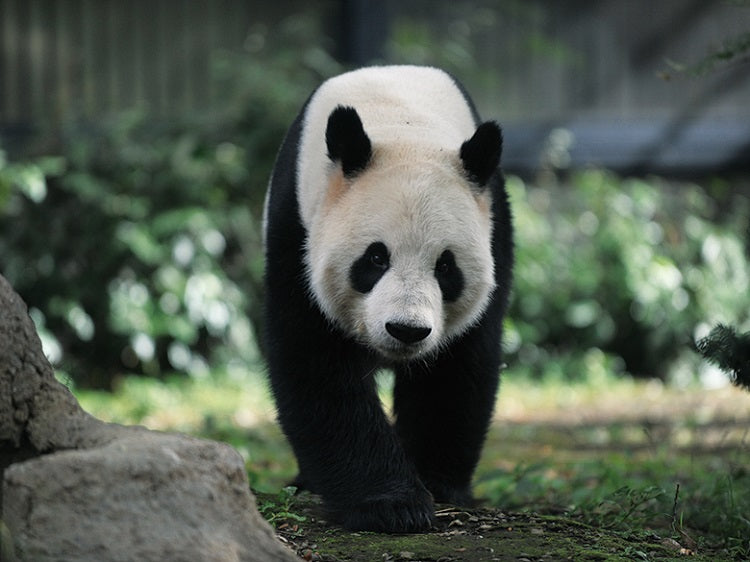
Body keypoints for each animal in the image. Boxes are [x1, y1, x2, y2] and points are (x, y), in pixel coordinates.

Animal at [262, 65, 516, 528]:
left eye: (446, 266)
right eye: (376, 258)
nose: (406, 330)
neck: (400, 121)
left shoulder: (494, 227)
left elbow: (453, 370)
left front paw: (437, 483)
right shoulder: (298, 228)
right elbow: (317, 366)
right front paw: (392, 505)